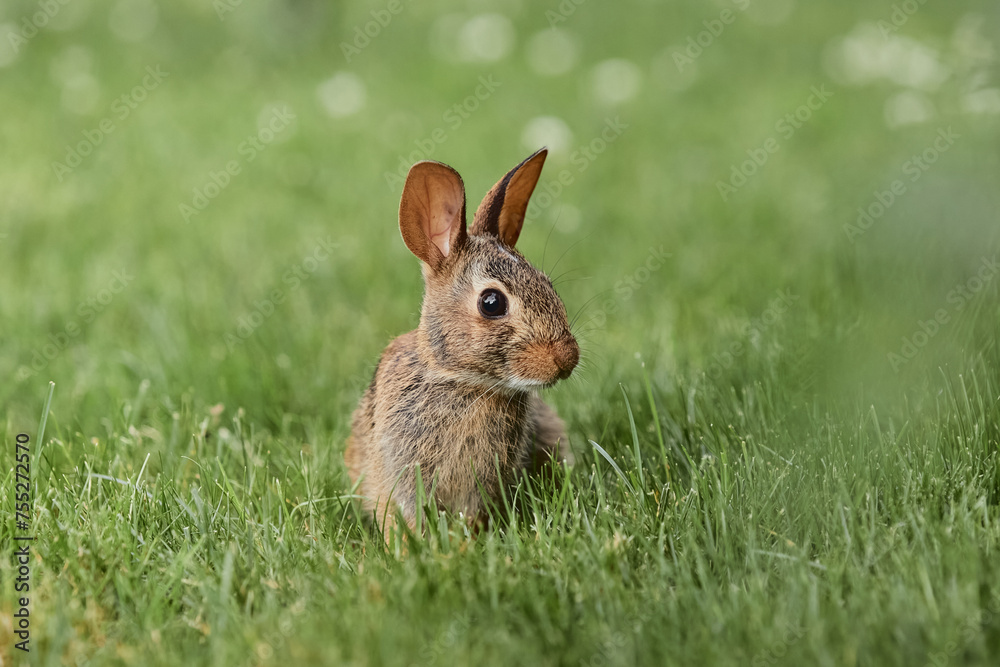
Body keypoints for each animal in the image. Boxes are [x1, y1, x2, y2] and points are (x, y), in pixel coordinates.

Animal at [345, 148, 579, 539]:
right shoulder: (401, 472)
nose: (567, 358)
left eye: (547, 284)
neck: (464, 382)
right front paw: (408, 547)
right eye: (491, 302)